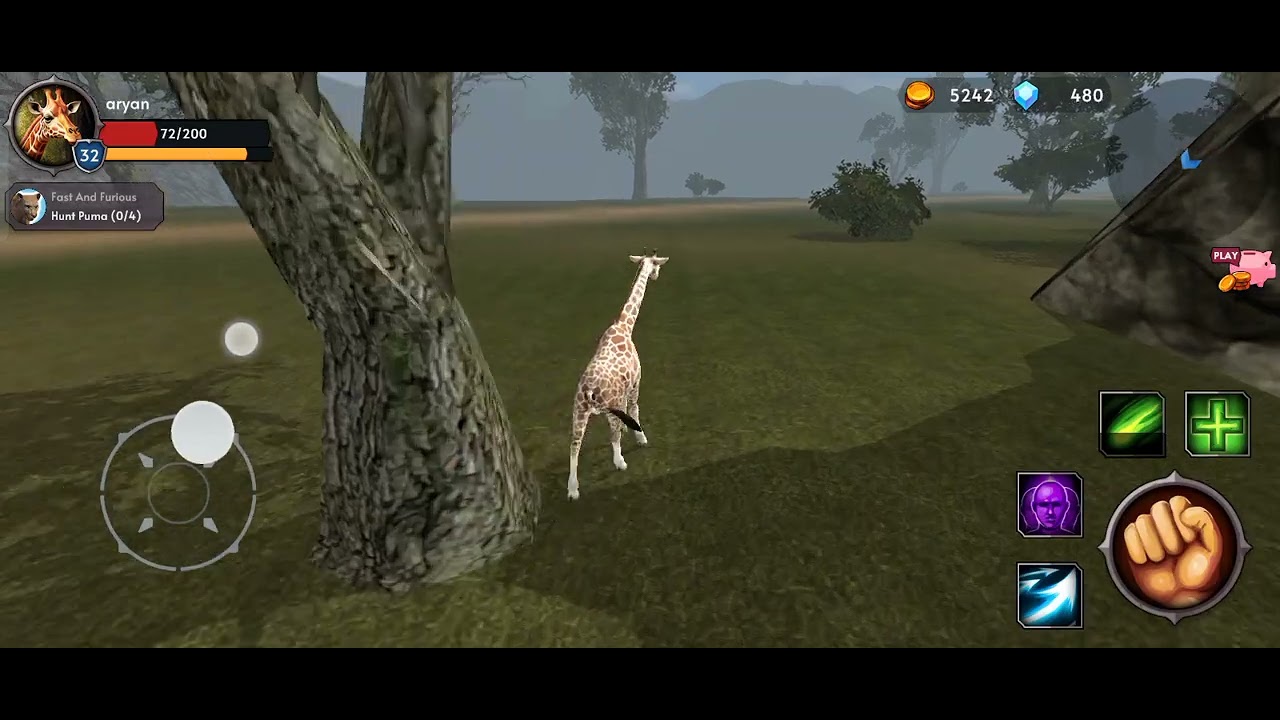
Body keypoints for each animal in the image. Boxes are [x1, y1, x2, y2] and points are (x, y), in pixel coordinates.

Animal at [567, 249, 669, 500]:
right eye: (656, 266)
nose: (655, 276)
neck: (624, 326)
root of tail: (590, 391)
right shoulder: (635, 384)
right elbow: (635, 409)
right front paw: (641, 438)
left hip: (578, 410)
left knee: (574, 445)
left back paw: (573, 490)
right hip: (606, 405)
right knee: (611, 434)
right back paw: (620, 462)